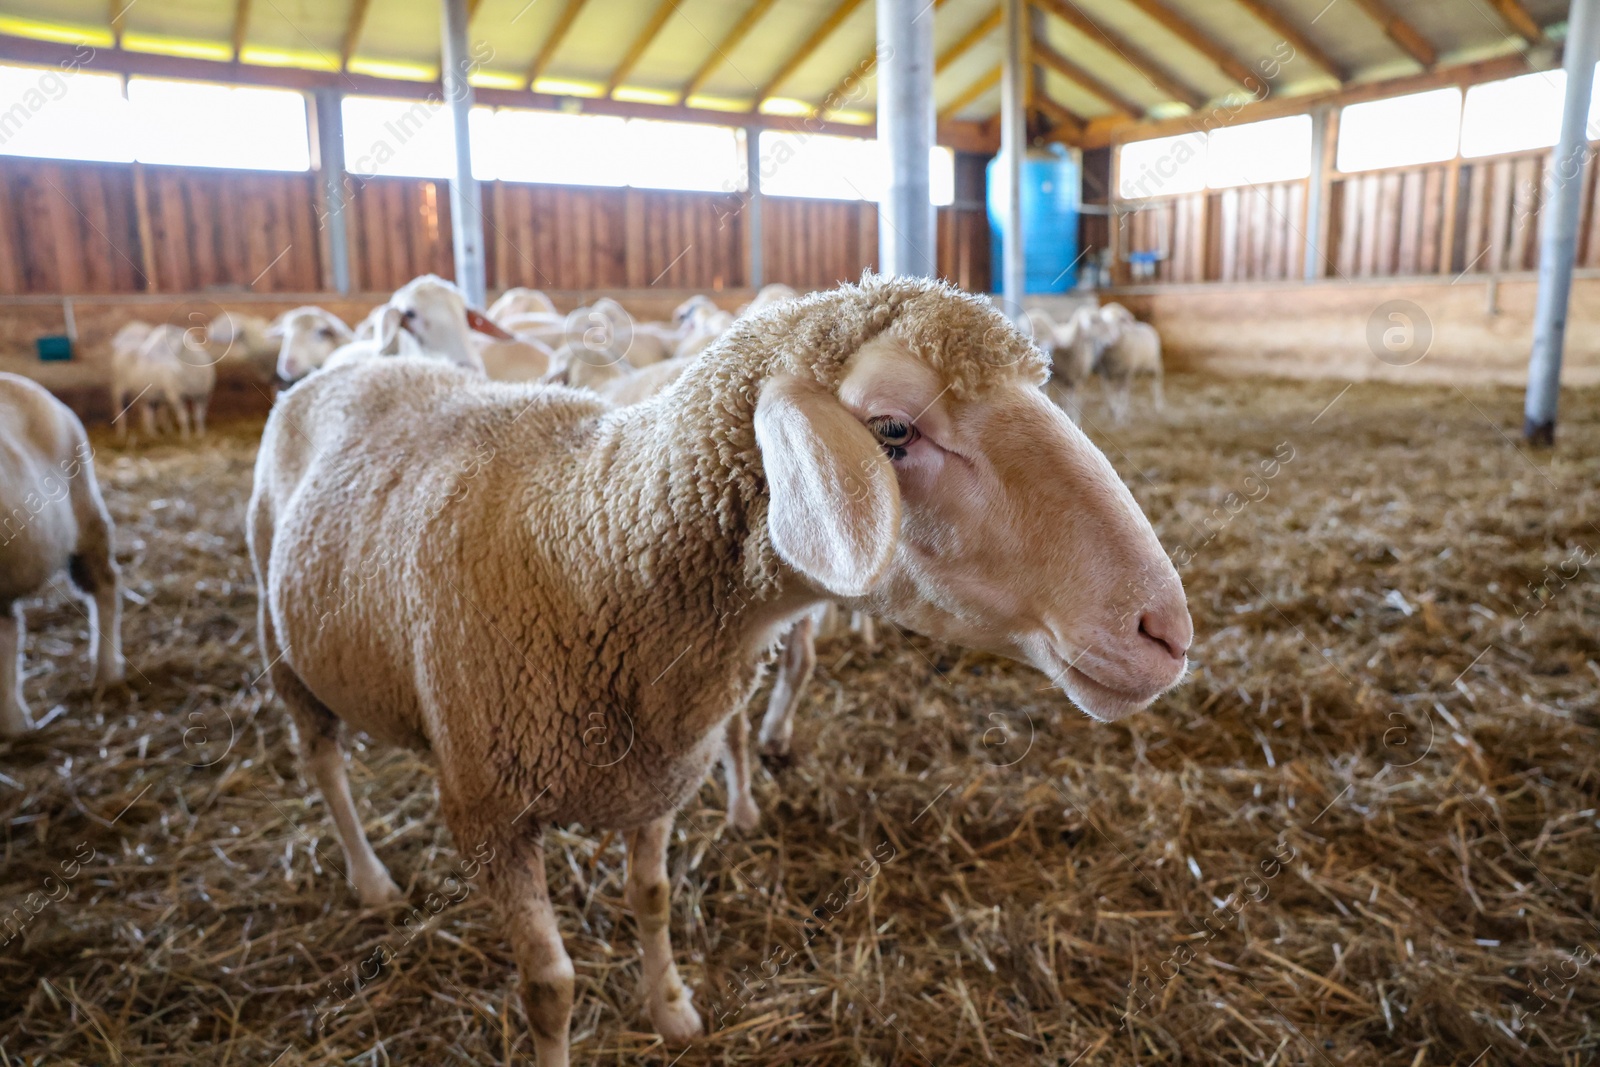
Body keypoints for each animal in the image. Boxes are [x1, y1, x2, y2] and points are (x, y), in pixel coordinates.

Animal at [246, 273, 1190, 1062]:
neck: (590, 545)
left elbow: (654, 898)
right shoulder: (490, 815)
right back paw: (369, 877)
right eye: (893, 429)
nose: (1166, 630)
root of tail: (353, 363)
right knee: (321, 760)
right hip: (281, 638)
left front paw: (672, 1011)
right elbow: (549, 988)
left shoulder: (655, 777)